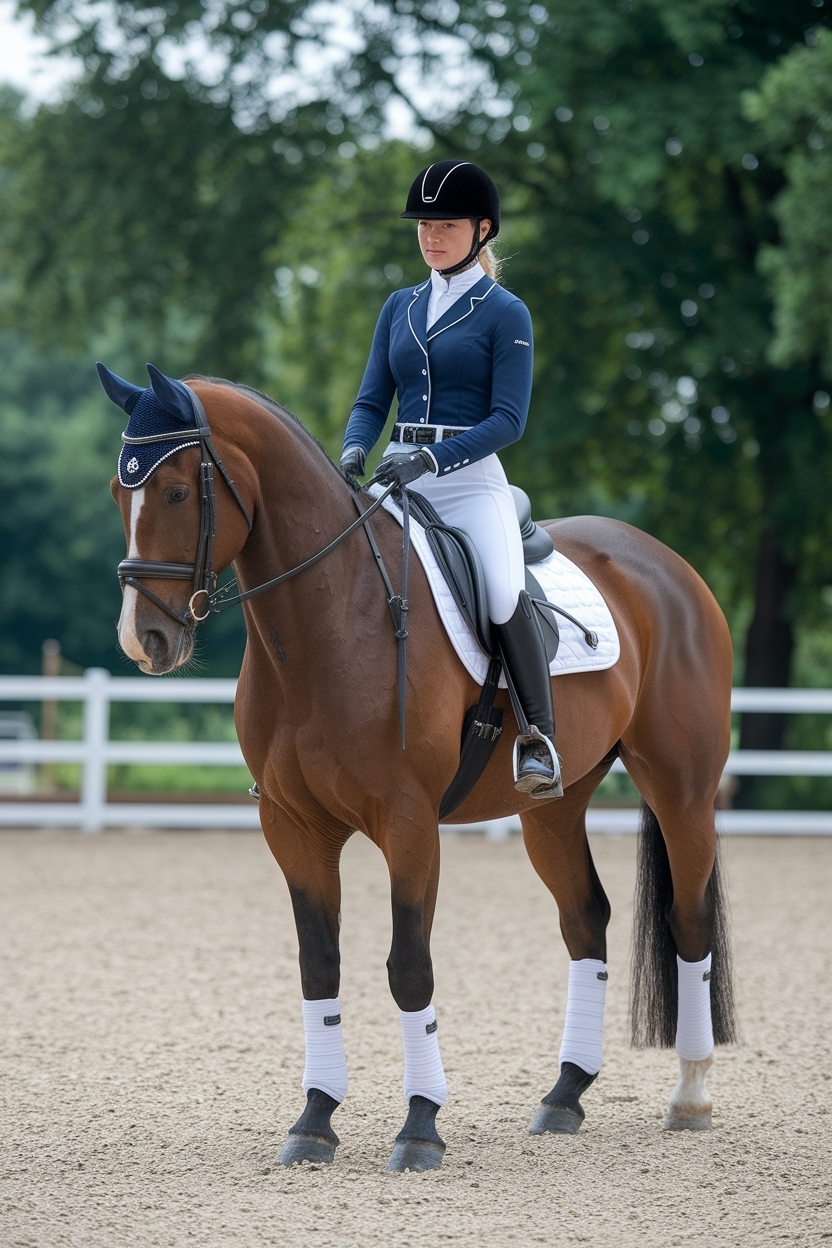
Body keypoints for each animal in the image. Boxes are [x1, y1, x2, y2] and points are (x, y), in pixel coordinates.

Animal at [108, 370, 736, 1172]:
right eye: (118, 494)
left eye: (179, 491)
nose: (145, 640)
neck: (329, 619)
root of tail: (667, 564)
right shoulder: (292, 826)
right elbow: (319, 965)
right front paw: (314, 1121)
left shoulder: (408, 824)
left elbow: (409, 967)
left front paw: (419, 1126)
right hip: (553, 808)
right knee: (584, 919)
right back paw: (565, 1094)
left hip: (680, 788)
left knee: (688, 921)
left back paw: (691, 1095)